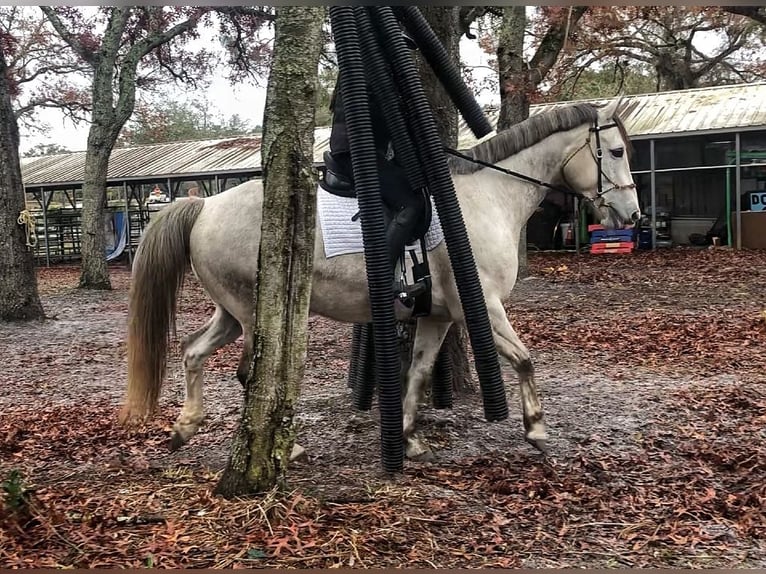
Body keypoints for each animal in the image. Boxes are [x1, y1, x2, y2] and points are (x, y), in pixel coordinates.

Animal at [124, 100, 640, 464]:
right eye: (616, 152)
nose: (632, 215)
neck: (485, 198)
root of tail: (205, 206)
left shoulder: (438, 315)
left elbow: (419, 371)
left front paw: (410, 440)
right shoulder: (483, 306)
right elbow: (525, 359)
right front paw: (537, 430)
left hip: (230, 312)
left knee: (193, 351)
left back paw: (185, 427)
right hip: (255, 313)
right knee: (254, 374)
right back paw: (287, 448)